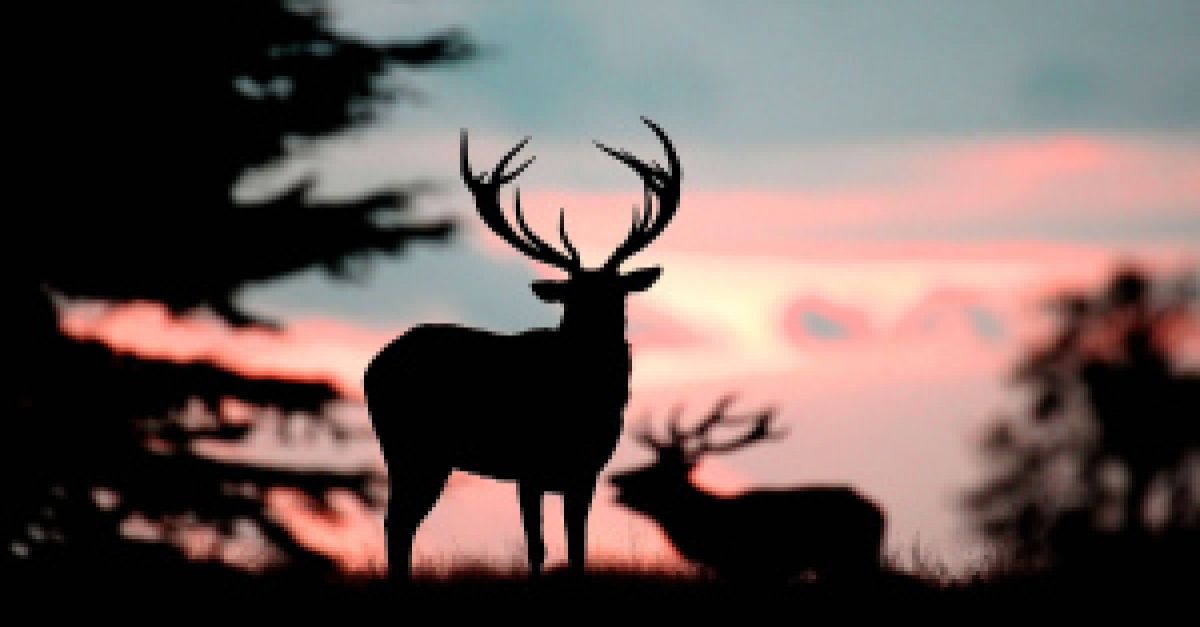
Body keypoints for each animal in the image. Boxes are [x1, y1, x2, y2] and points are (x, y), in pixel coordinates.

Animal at [364, 118, 681, 576]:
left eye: (616, 293)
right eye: (572, 297)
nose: (598, 330)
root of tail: (371, 368)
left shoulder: (586, 471)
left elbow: (578, 548)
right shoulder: (528, 466)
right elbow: (537, 547)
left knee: (399, 523)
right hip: (414, 448)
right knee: (398, 522)